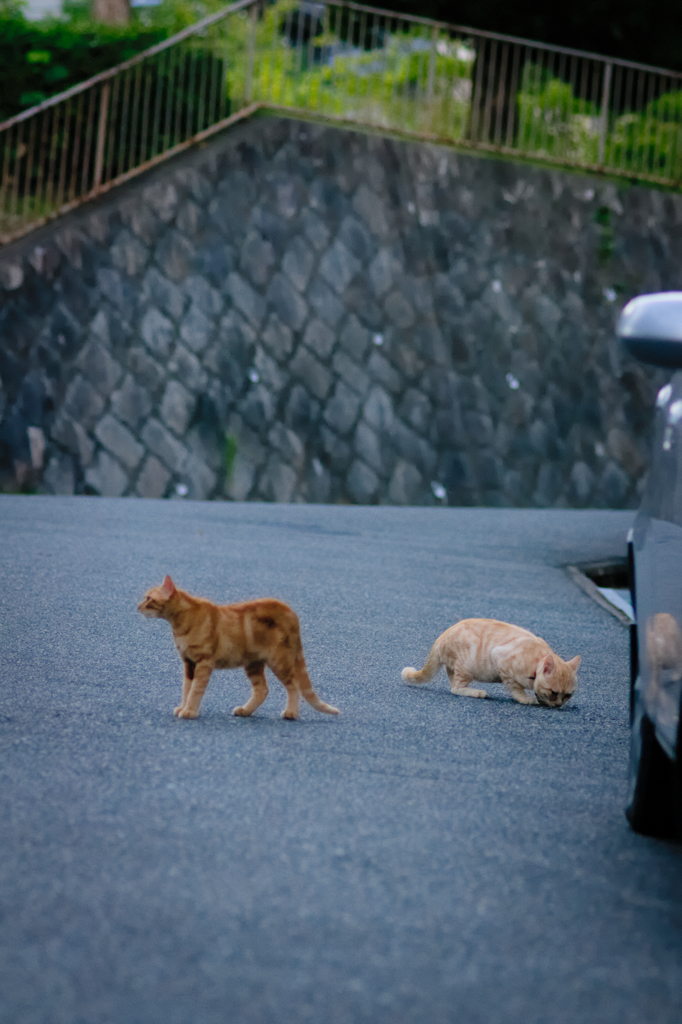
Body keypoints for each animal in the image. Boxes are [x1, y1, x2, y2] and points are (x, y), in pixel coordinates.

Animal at [137, 577, 337, 720]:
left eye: (148, 598)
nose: (137, 606)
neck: (180, 623)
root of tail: (289, 611)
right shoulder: (189, 663)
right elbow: (186, 688)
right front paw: (183, 706)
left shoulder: (203, 662)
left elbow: (195, 690)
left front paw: (190, 711)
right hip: (253, 663)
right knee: (262, 689)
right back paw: (246, 710)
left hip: (279, 661)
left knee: (293, 684)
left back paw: (291, 713)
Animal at [403, 618, 577, 708]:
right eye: (553, 692)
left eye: (568, 695)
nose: (558, 705)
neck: (536, 661)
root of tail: (440, 639)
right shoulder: (500, 659)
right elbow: (516, 688)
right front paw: (524, 698)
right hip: (467, 667)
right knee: (455, 688)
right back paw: (476, 692)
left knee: (452, 682)